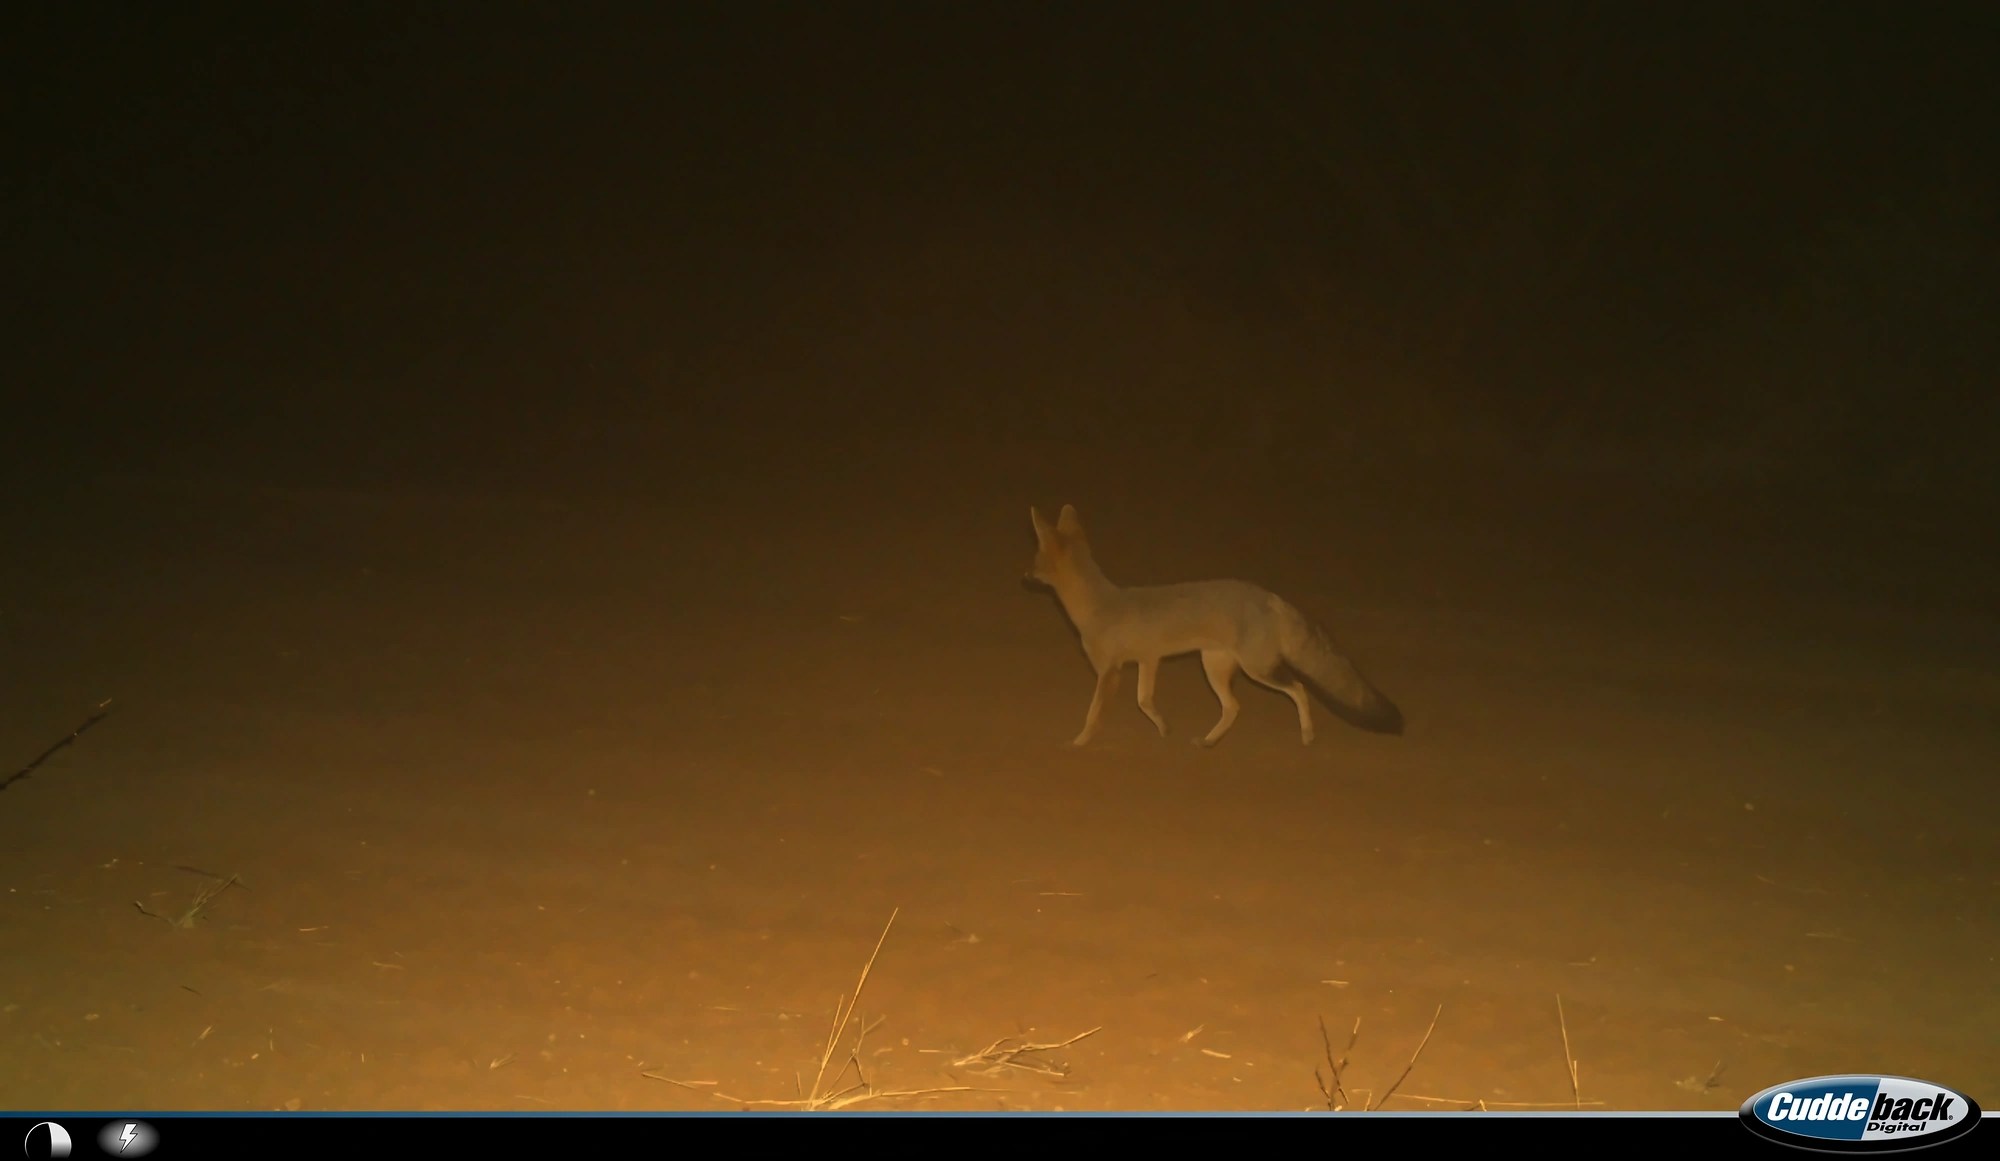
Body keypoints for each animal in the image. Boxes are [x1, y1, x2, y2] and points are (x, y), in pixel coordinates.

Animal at [1026, 504, 1404, 748]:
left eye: (1035, 560)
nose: (1022, 576)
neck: (1097, 604)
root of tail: (1269, 596)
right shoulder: (1149, 659)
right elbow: (1145, 701)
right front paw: (1164, 729)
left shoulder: (1110, 671)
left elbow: (1094, 714)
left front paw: (1078, 742)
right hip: (1215, 667)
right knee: (1234, 707)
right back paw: (1208, 741)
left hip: (1255, 670)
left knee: (1298, 688)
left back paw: (1307, 735)